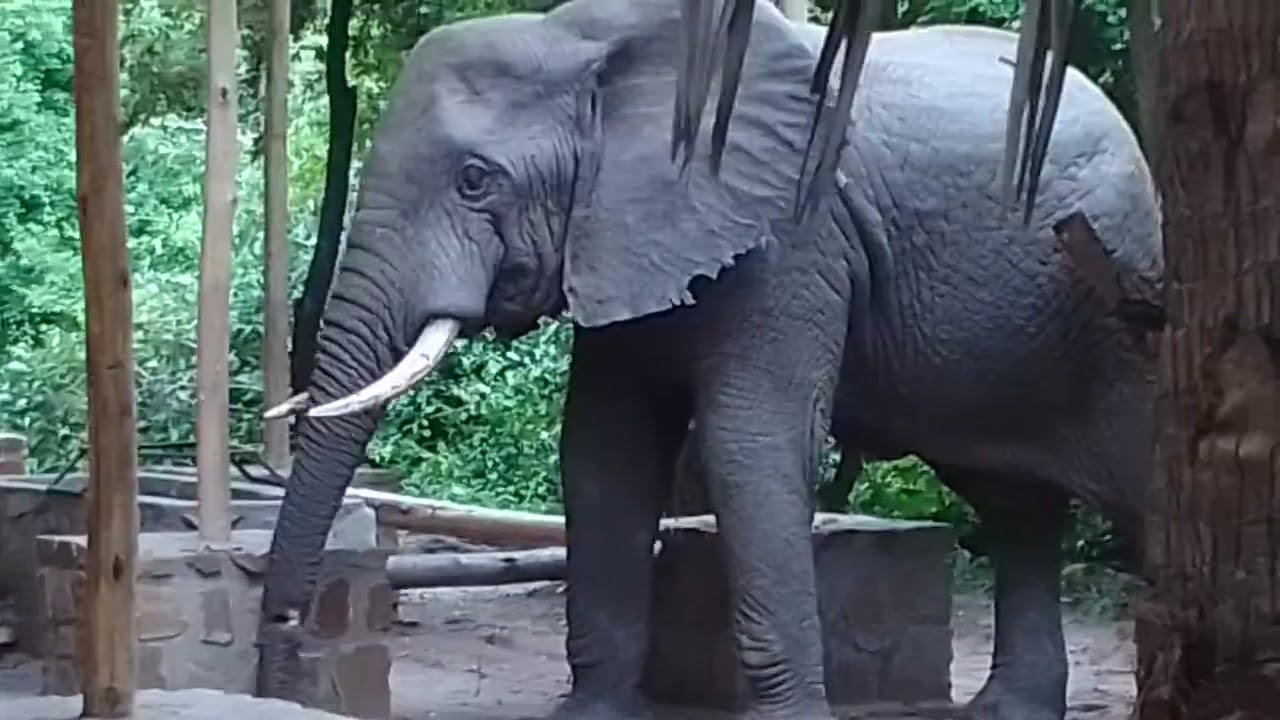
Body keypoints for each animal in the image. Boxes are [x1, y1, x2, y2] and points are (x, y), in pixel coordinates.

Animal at [256, 0, 1163, 718]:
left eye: (475, 181)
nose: (287, 635)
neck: (585, 42)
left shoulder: (791, 239)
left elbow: (748, 445)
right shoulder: (622, 237)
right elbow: (605, 450)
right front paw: (590, 715)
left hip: (1119, 310)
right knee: (1015, 509)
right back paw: (1006, 711)